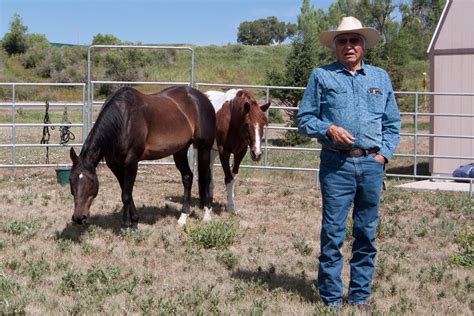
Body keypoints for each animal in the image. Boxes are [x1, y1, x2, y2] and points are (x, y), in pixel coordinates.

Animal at [69, 86, 216, 227]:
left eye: (92, 181)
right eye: (71, 180)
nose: (79, 218)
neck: (123, 120)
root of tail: (203, 97)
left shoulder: (132, 162)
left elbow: (126, 194)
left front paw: (126, 224)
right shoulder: (114, 164)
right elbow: (125, 191)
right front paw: (134, 220)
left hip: (204, 148)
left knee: (206, 178)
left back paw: (207, 216)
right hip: (180, 150)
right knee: (187, 177)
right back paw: (183, 217)